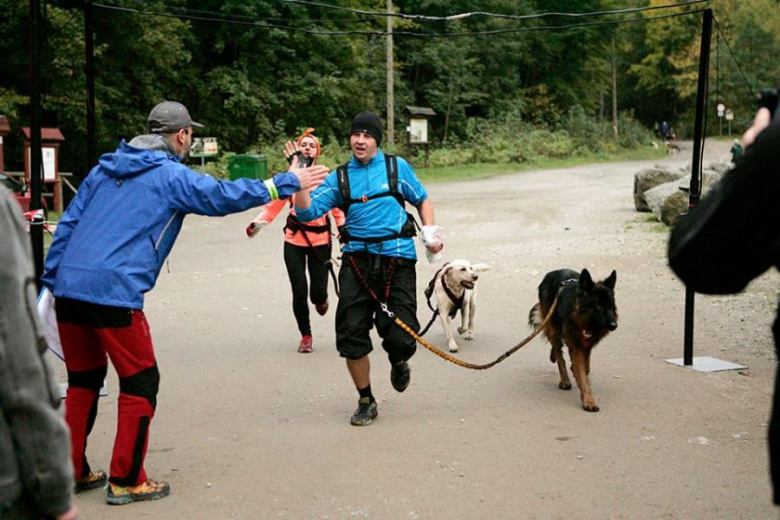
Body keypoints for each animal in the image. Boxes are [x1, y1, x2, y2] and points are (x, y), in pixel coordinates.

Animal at [532, 270, 616, 412]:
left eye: (611, 306)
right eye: (599, 306)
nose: (614, 325)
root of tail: (552, 272)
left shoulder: (587, 346)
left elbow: (585, 369)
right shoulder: (576, 347)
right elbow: (581, 371)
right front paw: (589, 401)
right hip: (553, 327)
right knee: (559, 353)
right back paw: (565, 380)